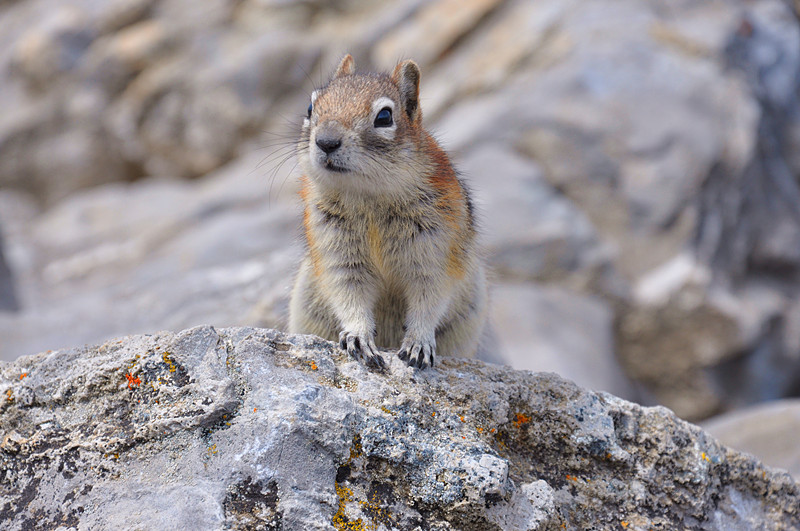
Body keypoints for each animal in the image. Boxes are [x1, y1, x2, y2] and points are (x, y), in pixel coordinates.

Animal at [290, 54, 488, 370]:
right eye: (310, 107)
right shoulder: (336, 250)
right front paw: (358, 336)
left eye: (384, 117)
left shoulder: (436, 252)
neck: (370, 198)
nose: (326, 142)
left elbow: (429, 299)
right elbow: (349, 293)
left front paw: (418, 343)